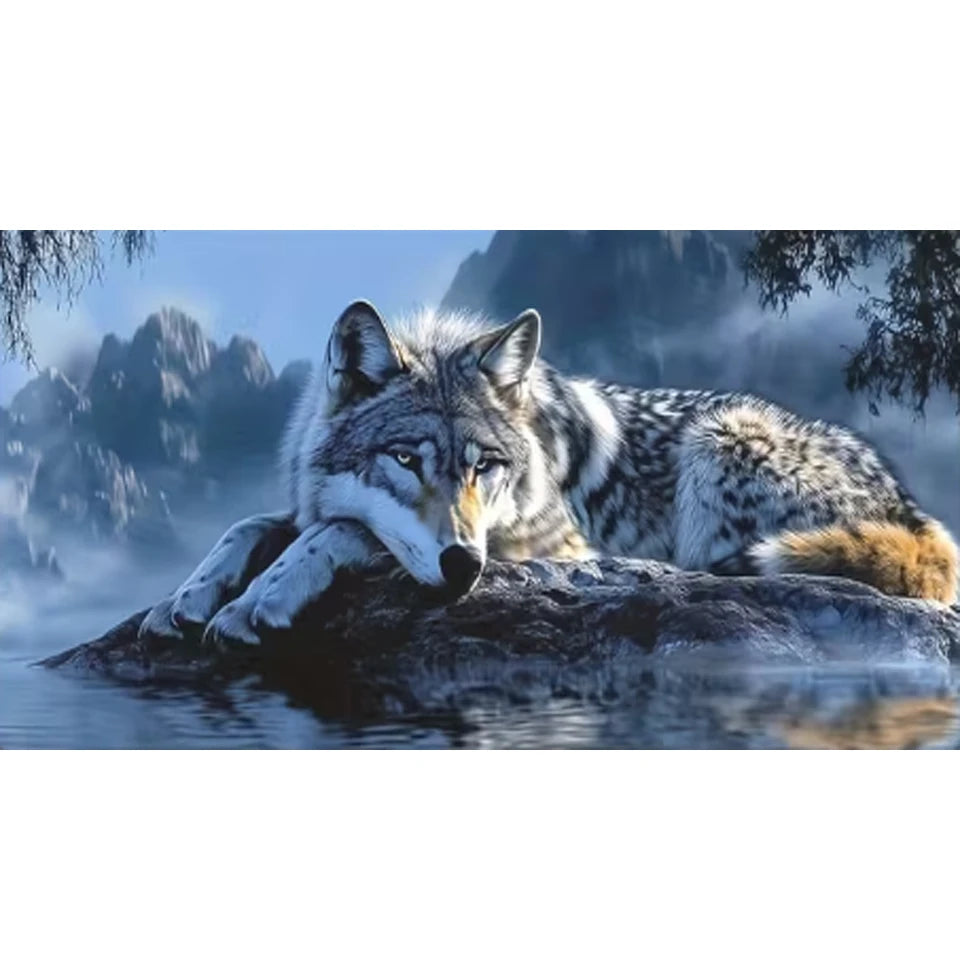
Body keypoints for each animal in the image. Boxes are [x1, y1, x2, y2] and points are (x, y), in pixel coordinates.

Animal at [140, 299, 959, 645]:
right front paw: (188, 595)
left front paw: (260, 600)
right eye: (405, 461)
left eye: (484, 467)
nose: (464, 567)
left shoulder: (554, 548)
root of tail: (914, 511)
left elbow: (342, 531)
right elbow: (252, 523)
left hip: (720, 439)